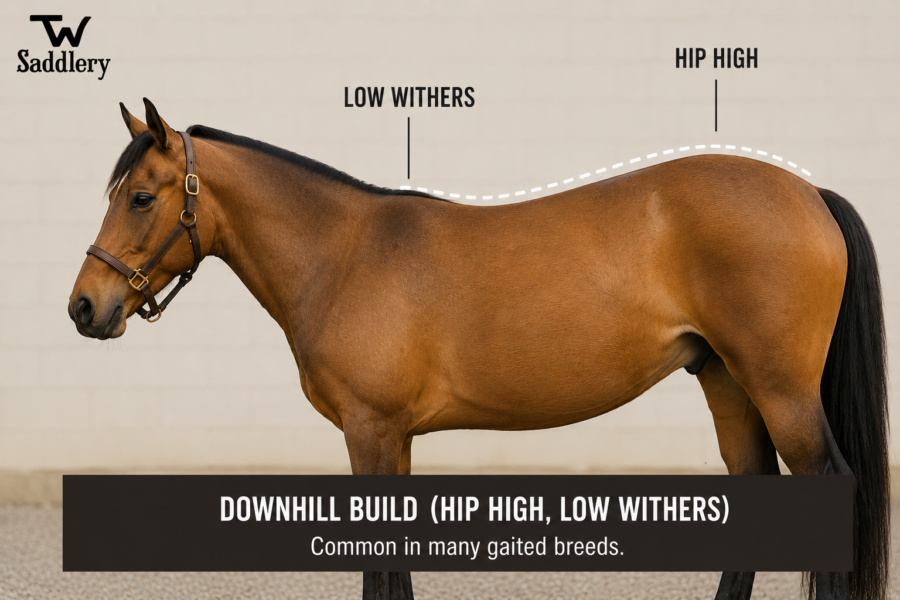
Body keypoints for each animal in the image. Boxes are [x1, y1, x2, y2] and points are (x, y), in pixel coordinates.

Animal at [68, 99, 888, 600]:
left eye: (140, 196)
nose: (84, 307)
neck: (343, 252)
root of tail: (810, 194)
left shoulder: (371, 430)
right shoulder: (393, 437)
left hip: (778, 388)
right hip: (724, 378)